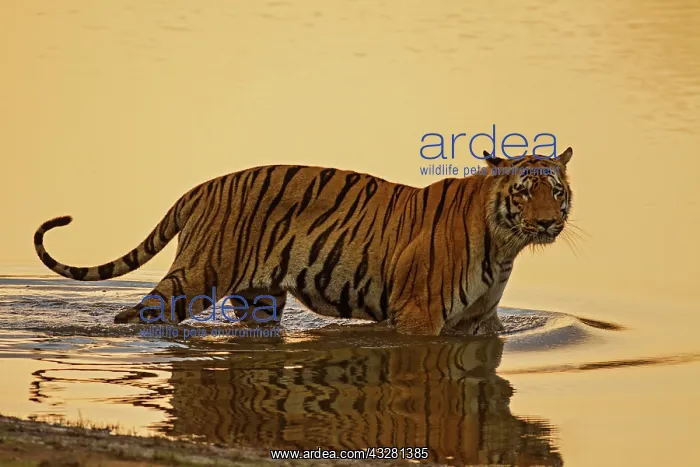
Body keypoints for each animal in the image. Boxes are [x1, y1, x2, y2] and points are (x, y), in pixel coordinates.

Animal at [33, 147, 574, 335]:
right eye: (525, 192)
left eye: (557, 191)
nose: (549, 224)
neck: (505, 245)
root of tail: (201, 187)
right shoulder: (419, 316)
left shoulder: (480, 319)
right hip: (198, 277)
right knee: (138, 313)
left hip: (261, 299)